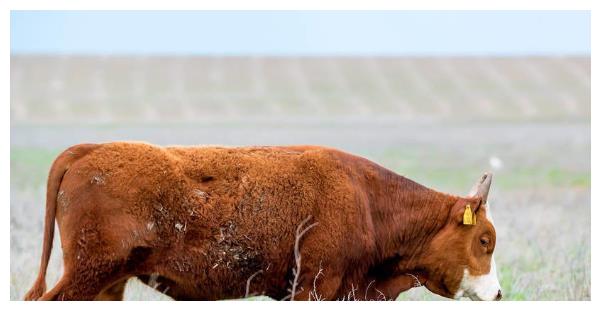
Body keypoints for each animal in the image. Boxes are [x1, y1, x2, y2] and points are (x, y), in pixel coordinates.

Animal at [23, 144, 502, 302]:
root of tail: (89, 150)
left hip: (110, 282)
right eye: (485, 239)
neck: (367, 201)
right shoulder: (314, 287)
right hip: (86, 274)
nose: (498, 293)